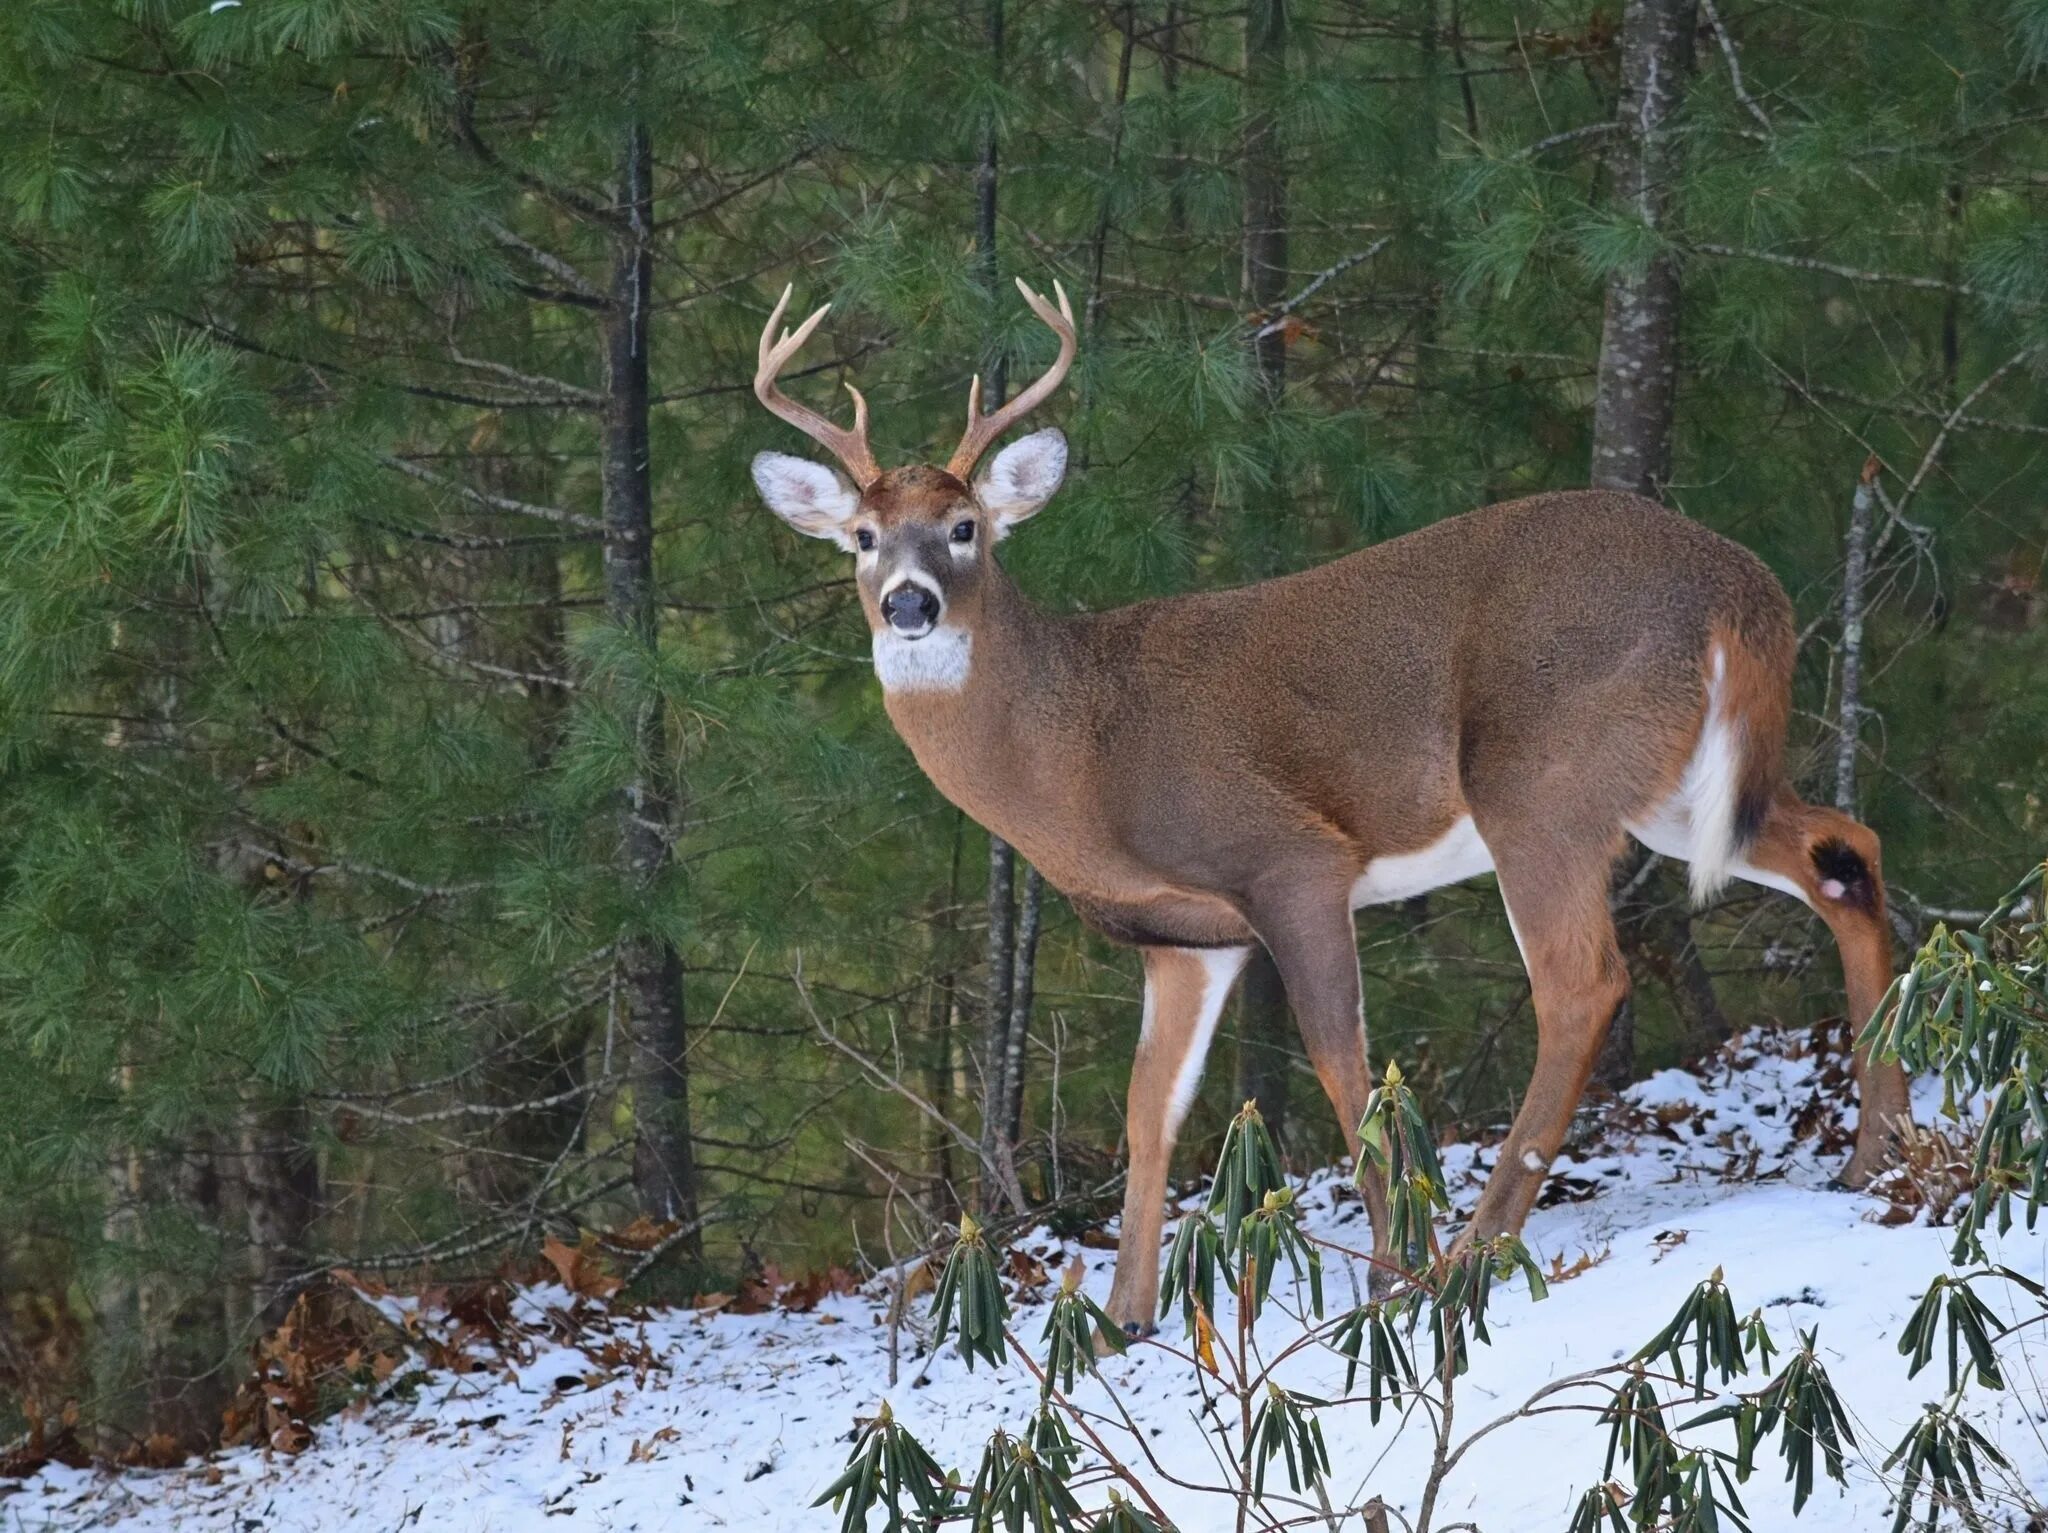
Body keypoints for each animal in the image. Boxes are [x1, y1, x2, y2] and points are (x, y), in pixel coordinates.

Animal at [753, 274, 1916, 1326]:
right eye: (862, 538)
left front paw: (1391, 1269)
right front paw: (1125, 1316)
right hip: (1670, 785)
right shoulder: (1187, 937)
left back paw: (1476, 1247)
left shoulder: (1289, 859)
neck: (1079, 751)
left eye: (963, 526)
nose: (909, 603)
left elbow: (1342, 1067)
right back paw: (1879, 1152)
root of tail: (1742, 586)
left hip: (1537, 776)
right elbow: (1148, 1111)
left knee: (1581, 984)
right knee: (1842, 849)